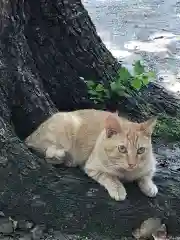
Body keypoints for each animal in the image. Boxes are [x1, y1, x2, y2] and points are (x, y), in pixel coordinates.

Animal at [25, 109, 158, 201]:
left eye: (141, 150)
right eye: (122, 149)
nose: (132, 164)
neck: (126, 173)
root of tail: (30, 135)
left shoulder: (150, 165)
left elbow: (146, 176)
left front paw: (150, 187)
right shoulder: (92, 168)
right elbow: (109, 177)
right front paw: (118, 189)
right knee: (47, 152)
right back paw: (60, 155)